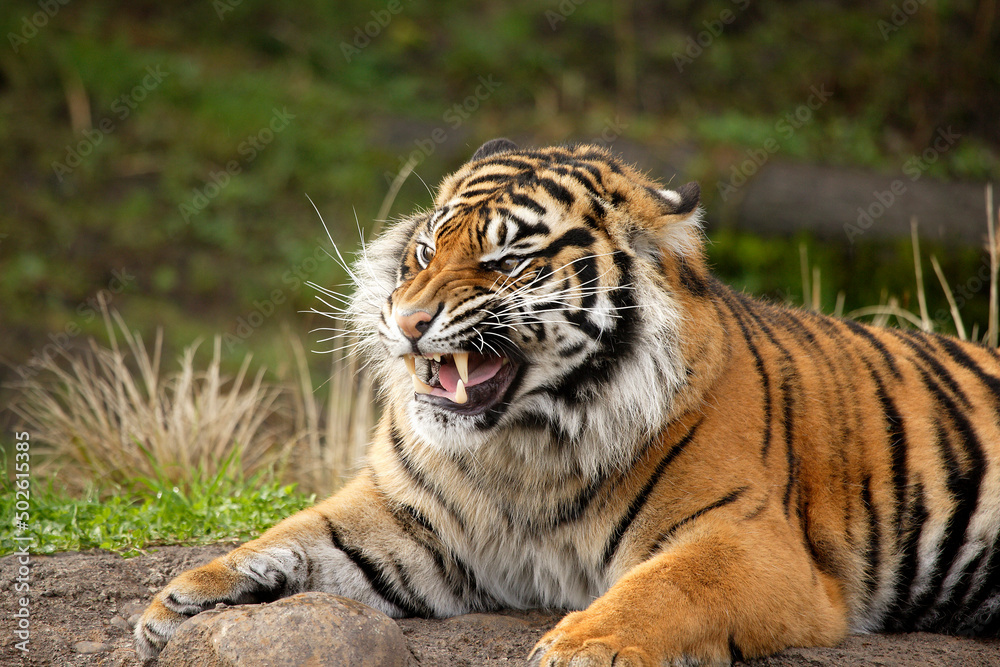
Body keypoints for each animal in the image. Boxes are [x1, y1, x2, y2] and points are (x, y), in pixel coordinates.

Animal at [136, 139, 1000, 665]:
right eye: (425, 250)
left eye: (504, 260)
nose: (406, 321)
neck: (522, 449)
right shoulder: (416, 523)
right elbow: (299, 537)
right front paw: (178, 601)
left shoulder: (749, 538)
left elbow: (665, 586)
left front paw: (583, 645)